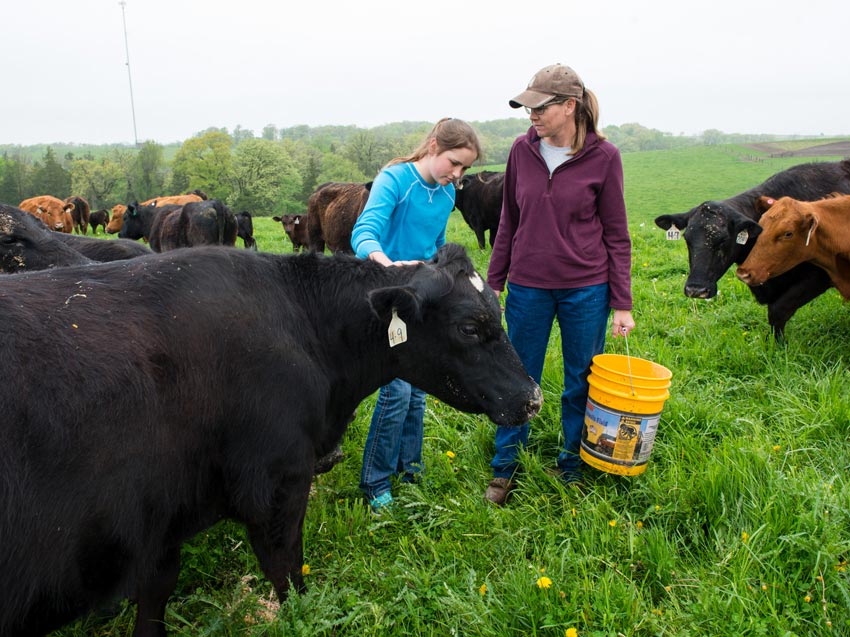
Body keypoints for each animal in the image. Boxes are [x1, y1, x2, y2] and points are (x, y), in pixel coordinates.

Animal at [0, 243, 544, 636]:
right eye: (470, 327)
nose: (533, 398)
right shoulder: (276, 484)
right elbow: (288, 573)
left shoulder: (157, 519)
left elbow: (155, 596)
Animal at [648, 159, 848, 338]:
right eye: (687, 239)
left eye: (723, 240)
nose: (696, 290)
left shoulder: (820, 276)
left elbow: (778, 311)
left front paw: (779, 348)